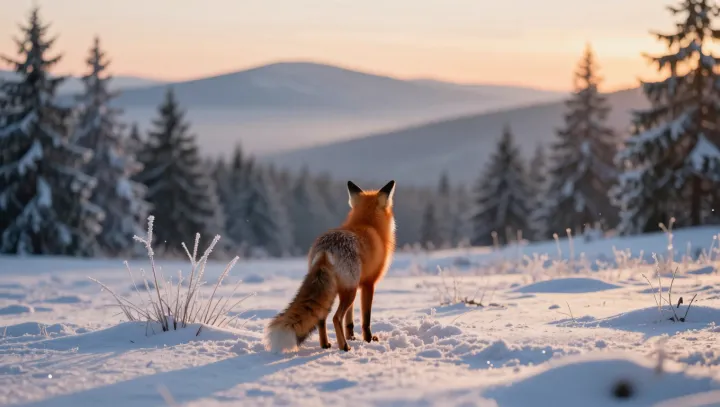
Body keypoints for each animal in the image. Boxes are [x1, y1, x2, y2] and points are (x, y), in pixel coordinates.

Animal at [264, 179, 397, 353]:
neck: (368, 224)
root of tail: (325, 250)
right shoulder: (368, 284)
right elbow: (365, 320)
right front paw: (368, 340)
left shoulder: (352, 286)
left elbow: (349, 321)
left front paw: (351, 337)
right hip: (350, 290)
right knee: (335, 318)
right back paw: (344, 346)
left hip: (339, 289)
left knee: (322, 317)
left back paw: (326, 344)